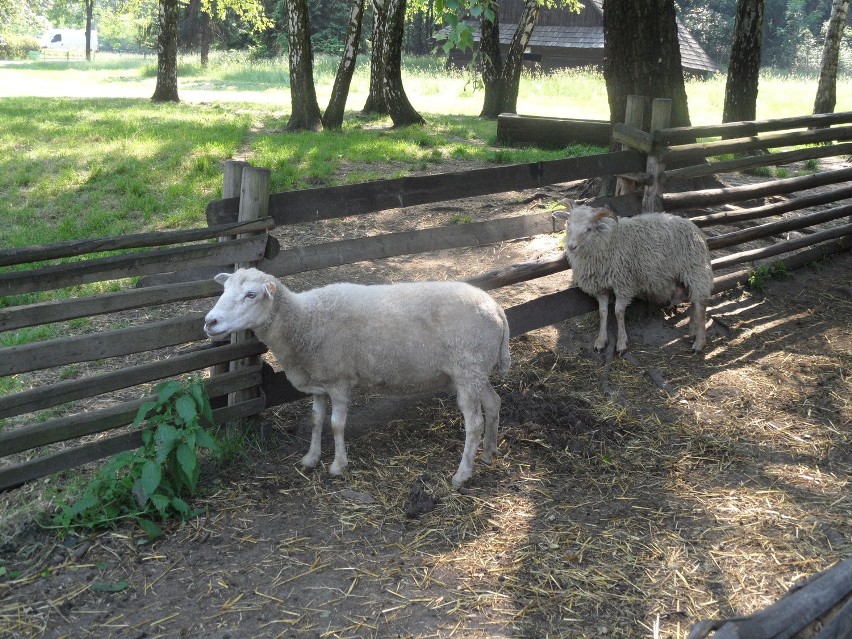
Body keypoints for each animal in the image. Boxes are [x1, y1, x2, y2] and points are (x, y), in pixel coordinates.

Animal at [205, 268, 512, 484]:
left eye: (251, 294)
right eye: (224, 289)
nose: (210, 322)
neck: (303, 321)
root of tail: (497, 309)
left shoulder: (339, 381)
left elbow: (336, 424)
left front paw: (338, 465)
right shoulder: (319, 382)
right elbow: (316, 421)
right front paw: (311, 458)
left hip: (468, 367)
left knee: (473, 423)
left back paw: (463, 474)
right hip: (475, 371)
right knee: (494, 403)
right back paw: (488, 452)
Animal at [556, 202, 716, 356]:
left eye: (589, 229)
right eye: (568, 224)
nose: (571, 247)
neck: (608, 240)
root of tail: (696, 229)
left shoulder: (623, 284)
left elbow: (618, 312)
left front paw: (621, 344)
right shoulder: (600, 287)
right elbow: (603, 313)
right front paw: (601, 341)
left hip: (696, 271)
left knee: (701, 306)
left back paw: (699, 343)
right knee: (694, 302)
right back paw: (693, 332)